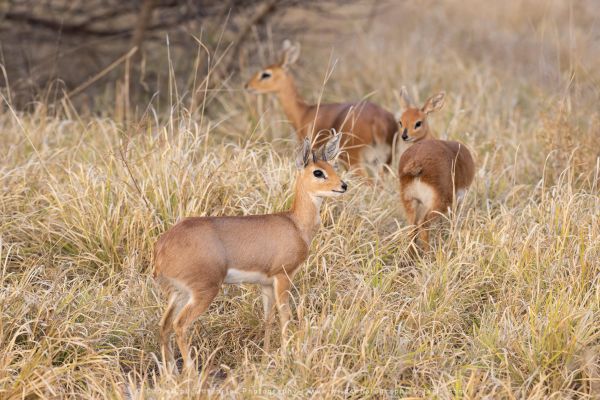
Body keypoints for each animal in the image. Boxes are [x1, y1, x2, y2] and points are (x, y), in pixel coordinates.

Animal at [152, 133, 346, 374]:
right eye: (318, 172)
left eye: (333, 166)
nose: (343, 185)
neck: (296, 224)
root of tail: (162, 246)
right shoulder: (283, 277)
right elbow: (286, 316)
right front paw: (287, 357)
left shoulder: (266, 284)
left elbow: (268, 319)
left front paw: (265, 359)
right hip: (203, 292)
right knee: (179, 325)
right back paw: (192, 373)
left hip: (179, 293)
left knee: (164, 326)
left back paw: (170, 374)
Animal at [244, 40, 398, 178]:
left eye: (266, 74)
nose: (247, 86)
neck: (304, 113)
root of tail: (378, 119)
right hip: (382, 163)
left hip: (355, 161)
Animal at [396, 88, 476, 252]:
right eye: (401, 121)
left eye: (418, 122)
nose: (404, 136)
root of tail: (416, 162)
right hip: (439, 203)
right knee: (423, 225)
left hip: (410, 201)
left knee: (412, 228)